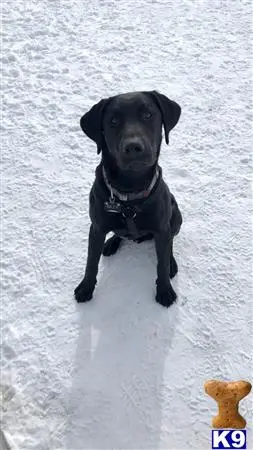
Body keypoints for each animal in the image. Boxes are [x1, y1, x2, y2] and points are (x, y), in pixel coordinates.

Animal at [74, 89, 183, 308]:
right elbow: (91, 262)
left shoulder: (162, 228)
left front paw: (165, 291)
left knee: (170, 243)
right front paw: (86, 288)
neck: (129, 195)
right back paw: (111, 243)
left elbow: (161, 263)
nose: (133, 147)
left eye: (148, 114)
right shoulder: (96, 228)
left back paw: (171, 263)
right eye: (113, 121)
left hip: (176, 216)